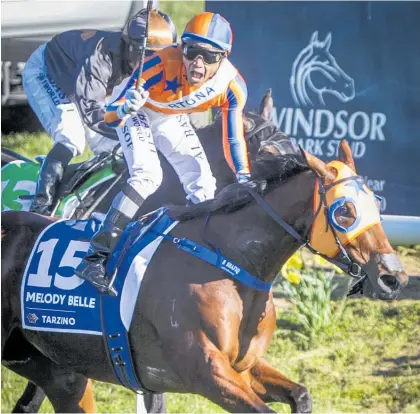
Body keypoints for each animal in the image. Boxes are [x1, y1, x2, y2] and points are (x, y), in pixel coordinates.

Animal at [0, 138, 406, 410]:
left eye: (377, 205)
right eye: (345, 211)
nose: (394, 276)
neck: (228, 262)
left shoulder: (244, 367)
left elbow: (301, 395)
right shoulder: (206, 372)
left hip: (58, 371)